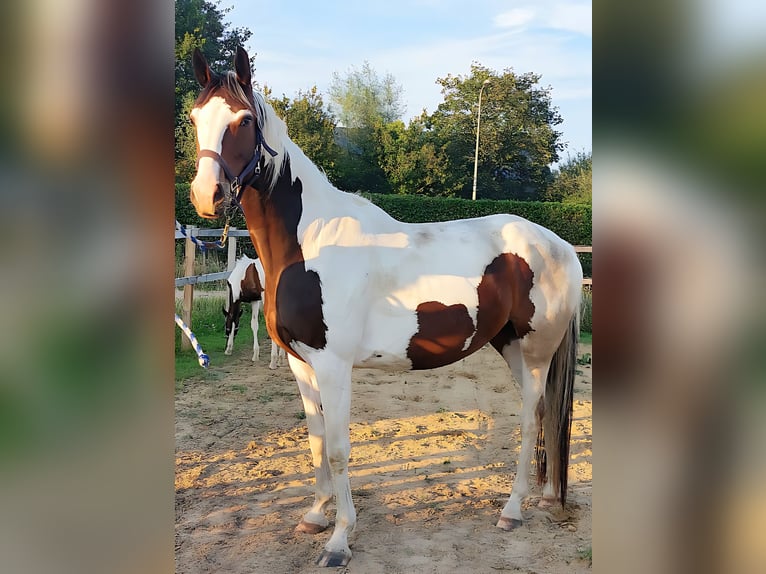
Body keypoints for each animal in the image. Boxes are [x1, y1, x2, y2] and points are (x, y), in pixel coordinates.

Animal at [189, 47, 584, 568]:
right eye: (195, 118)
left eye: (244, 120)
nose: (205, 196)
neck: (309, 244)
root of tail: (561, 246)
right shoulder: (302, 364)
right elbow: (315, 442)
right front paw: (314, 516)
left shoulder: (334, 366)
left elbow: (338, 449)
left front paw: (339, 540)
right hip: (512, 348)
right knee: (541, 416)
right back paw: (543, 496)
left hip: (536, 353)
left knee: (529, 418)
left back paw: (512, 510)